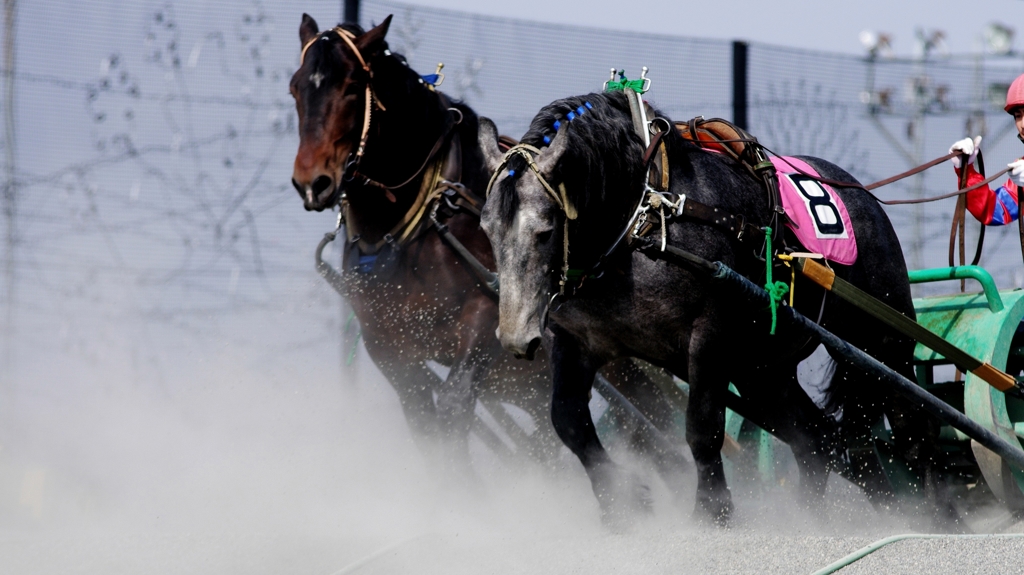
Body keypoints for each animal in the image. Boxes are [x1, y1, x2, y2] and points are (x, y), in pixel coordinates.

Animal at [288, 16, 688, 478]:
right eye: (296, 87)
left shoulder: (487, 313)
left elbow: (454, 406)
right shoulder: (388, 348)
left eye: (352, 86)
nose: (312, 181)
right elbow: (426, 425)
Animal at [479, 90, 942, 523]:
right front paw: (619, 501)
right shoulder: (576, 340)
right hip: (761, 369)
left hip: (883, 343)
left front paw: (713, 508)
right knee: (819, 439)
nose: (515, 337)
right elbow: (568, 419)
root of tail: (861, 197)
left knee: (912, 431)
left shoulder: (709, 337)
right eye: (487, 230)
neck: (644, 218)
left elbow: (702, 427)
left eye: (545, 230)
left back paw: (926, 514)